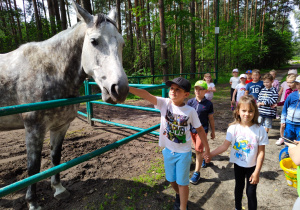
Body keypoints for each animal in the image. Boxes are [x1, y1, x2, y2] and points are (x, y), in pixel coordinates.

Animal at [0, 1, 127, 208]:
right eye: (94, 41)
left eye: (122, 43)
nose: (120, 89)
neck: (51, 70)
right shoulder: (34, 129)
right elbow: (33, 168)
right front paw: (33, 202)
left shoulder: (60, 126)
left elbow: (56, 157)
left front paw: (58, 189)